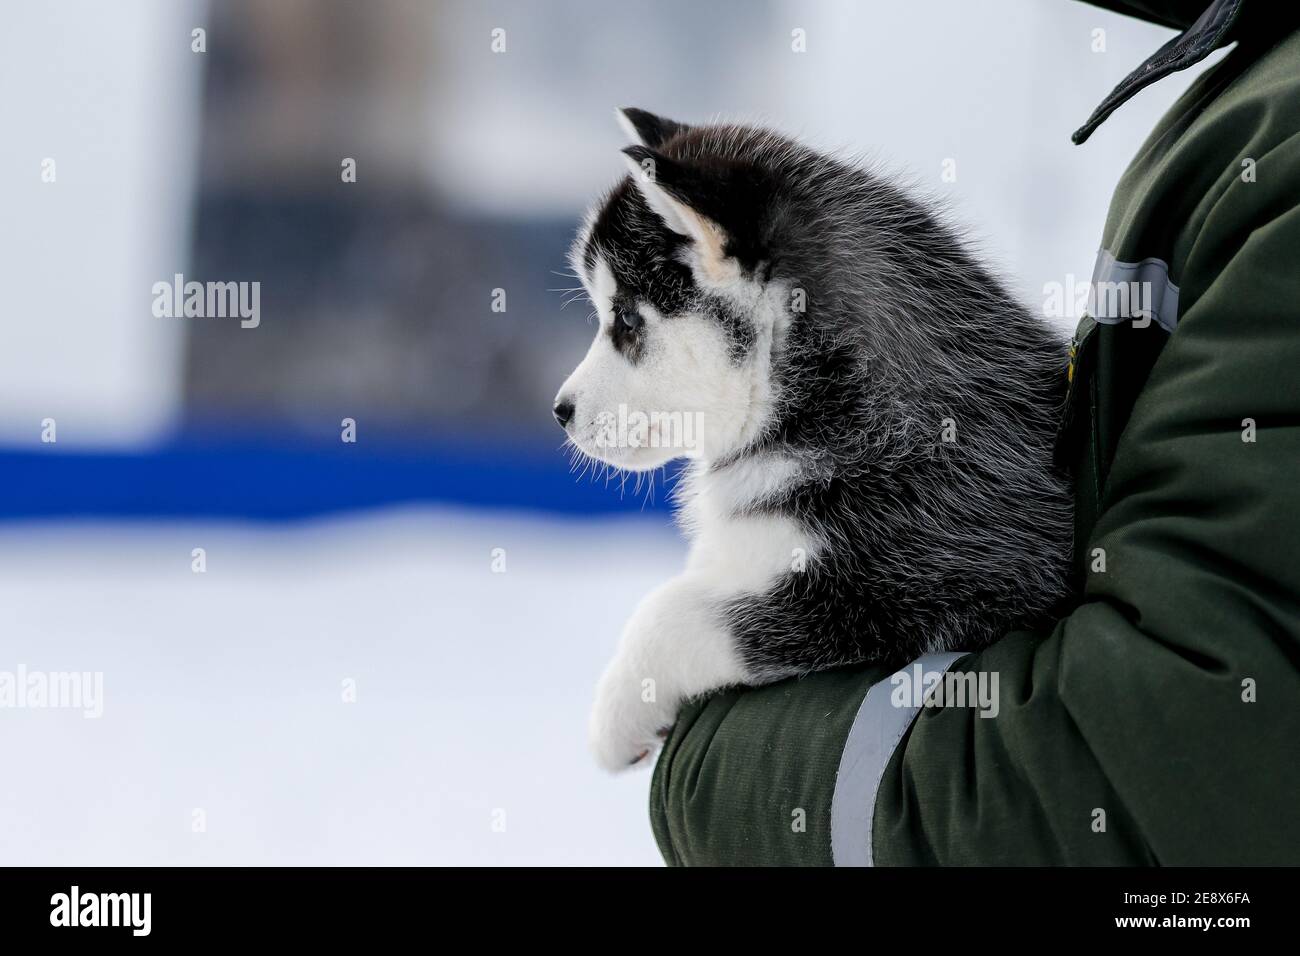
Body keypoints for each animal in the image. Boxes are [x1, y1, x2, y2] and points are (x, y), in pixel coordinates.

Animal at [553, 110, 1071, 770]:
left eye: (624, 319)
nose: (560, 412)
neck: (831, 404)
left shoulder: (927, 585)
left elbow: (675, 611)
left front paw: (618, 712)